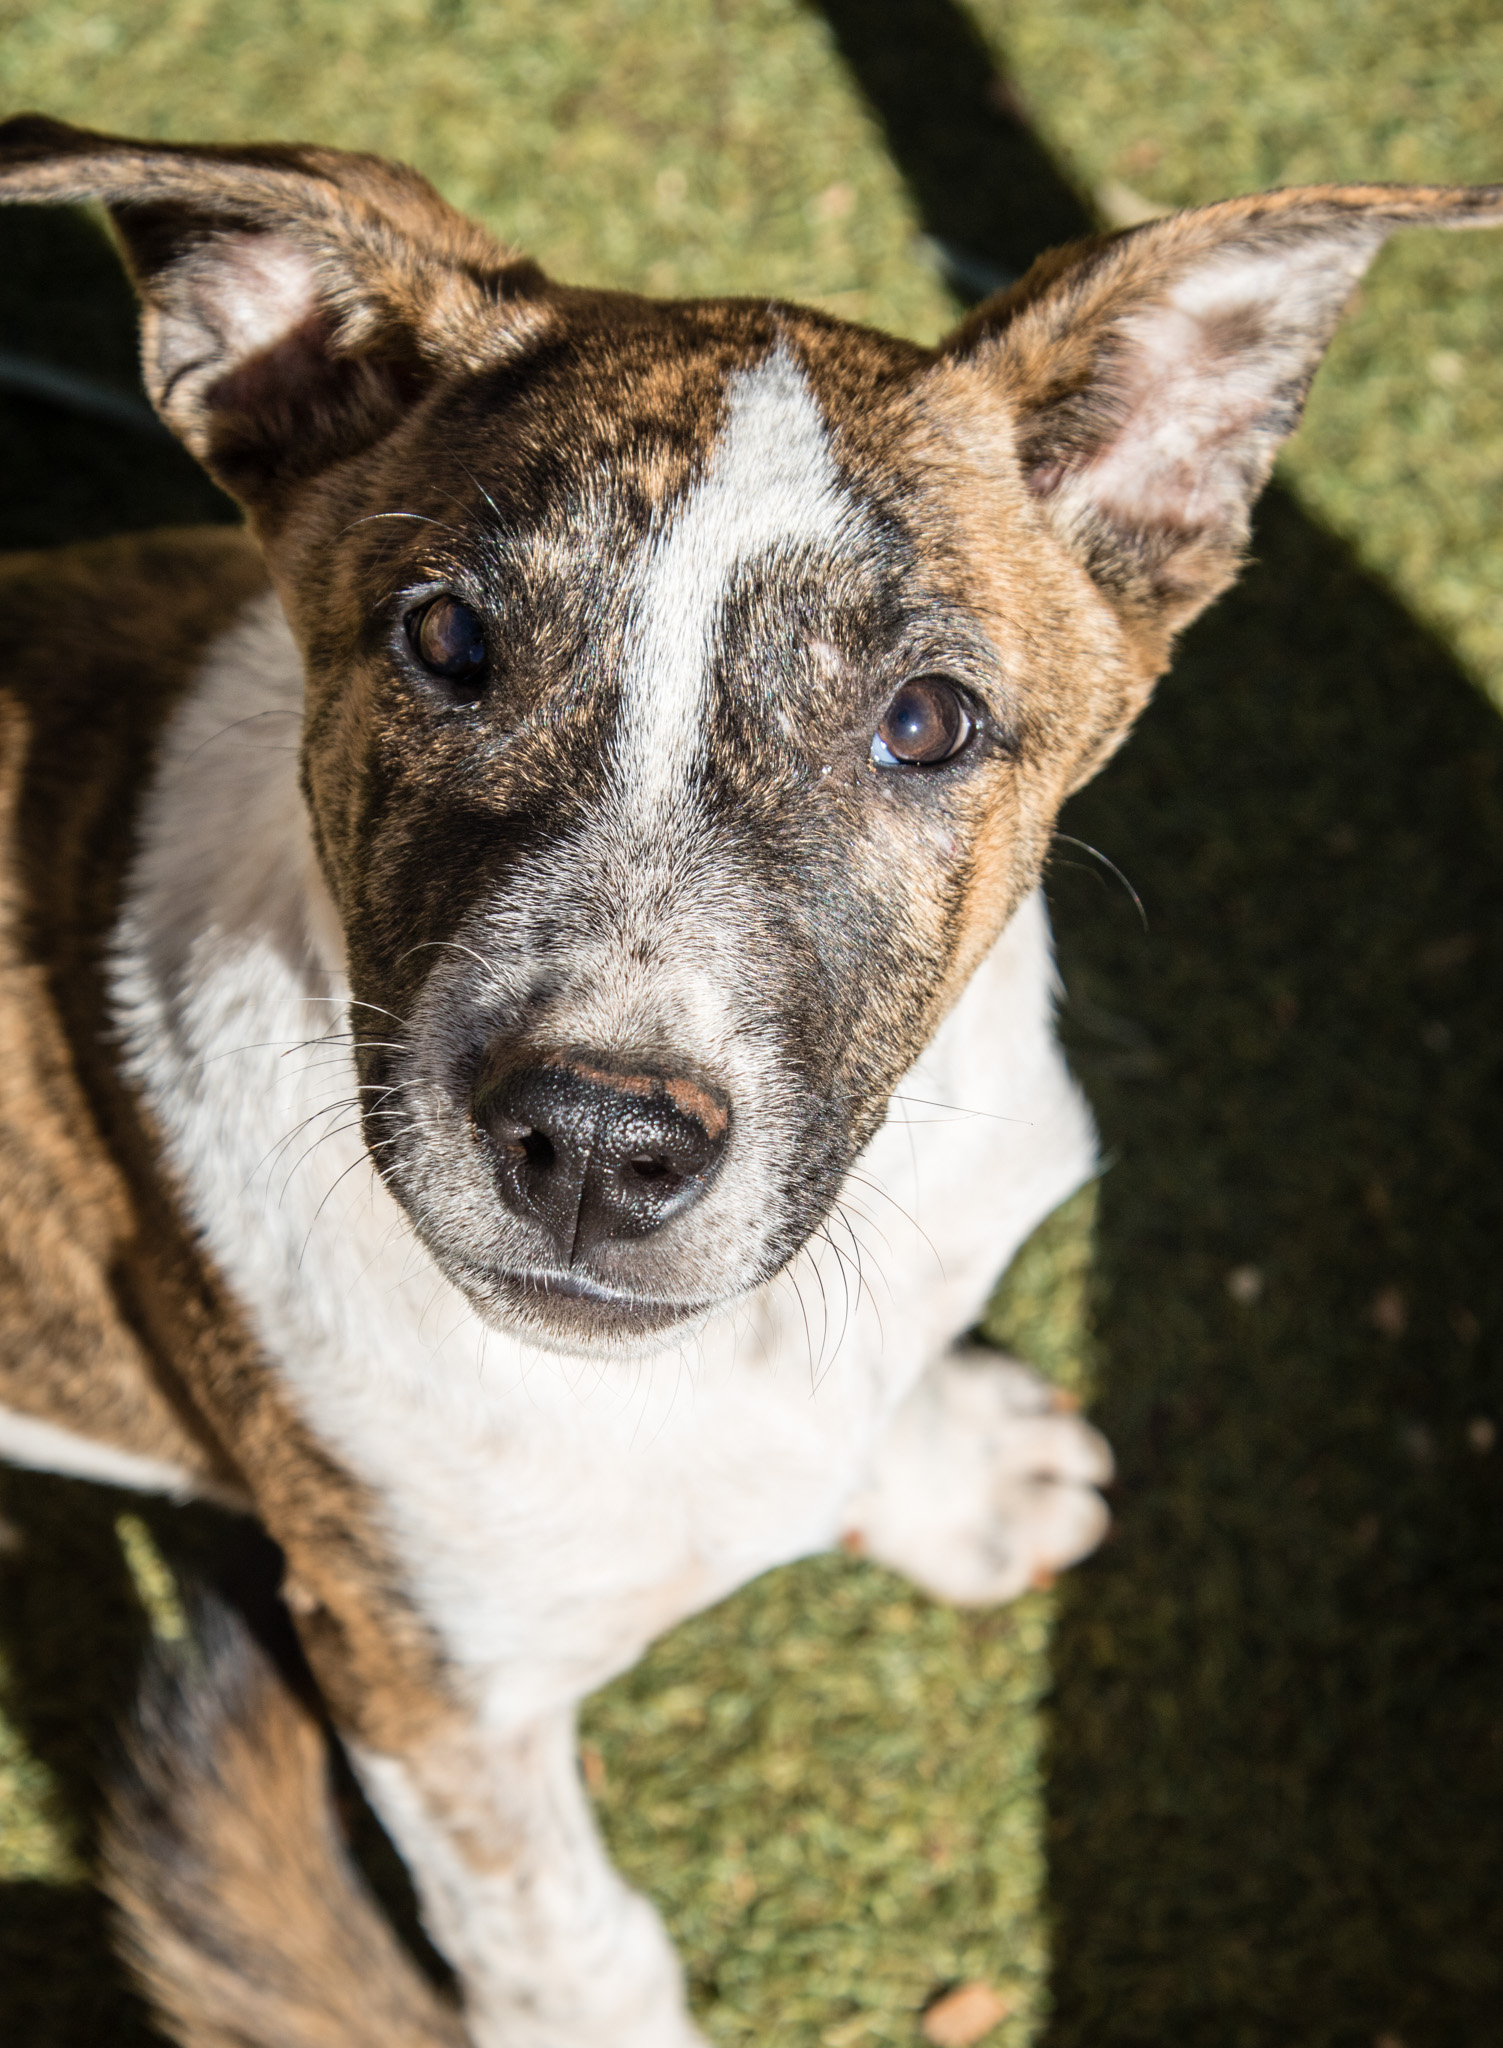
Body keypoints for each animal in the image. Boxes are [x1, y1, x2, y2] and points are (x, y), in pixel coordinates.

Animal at [0, 112, 1497, 2048]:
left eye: (922, 722)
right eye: (447, 642)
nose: (591, 1141)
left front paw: (947, 1470)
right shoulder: (427, 1688)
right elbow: (575, 1952)